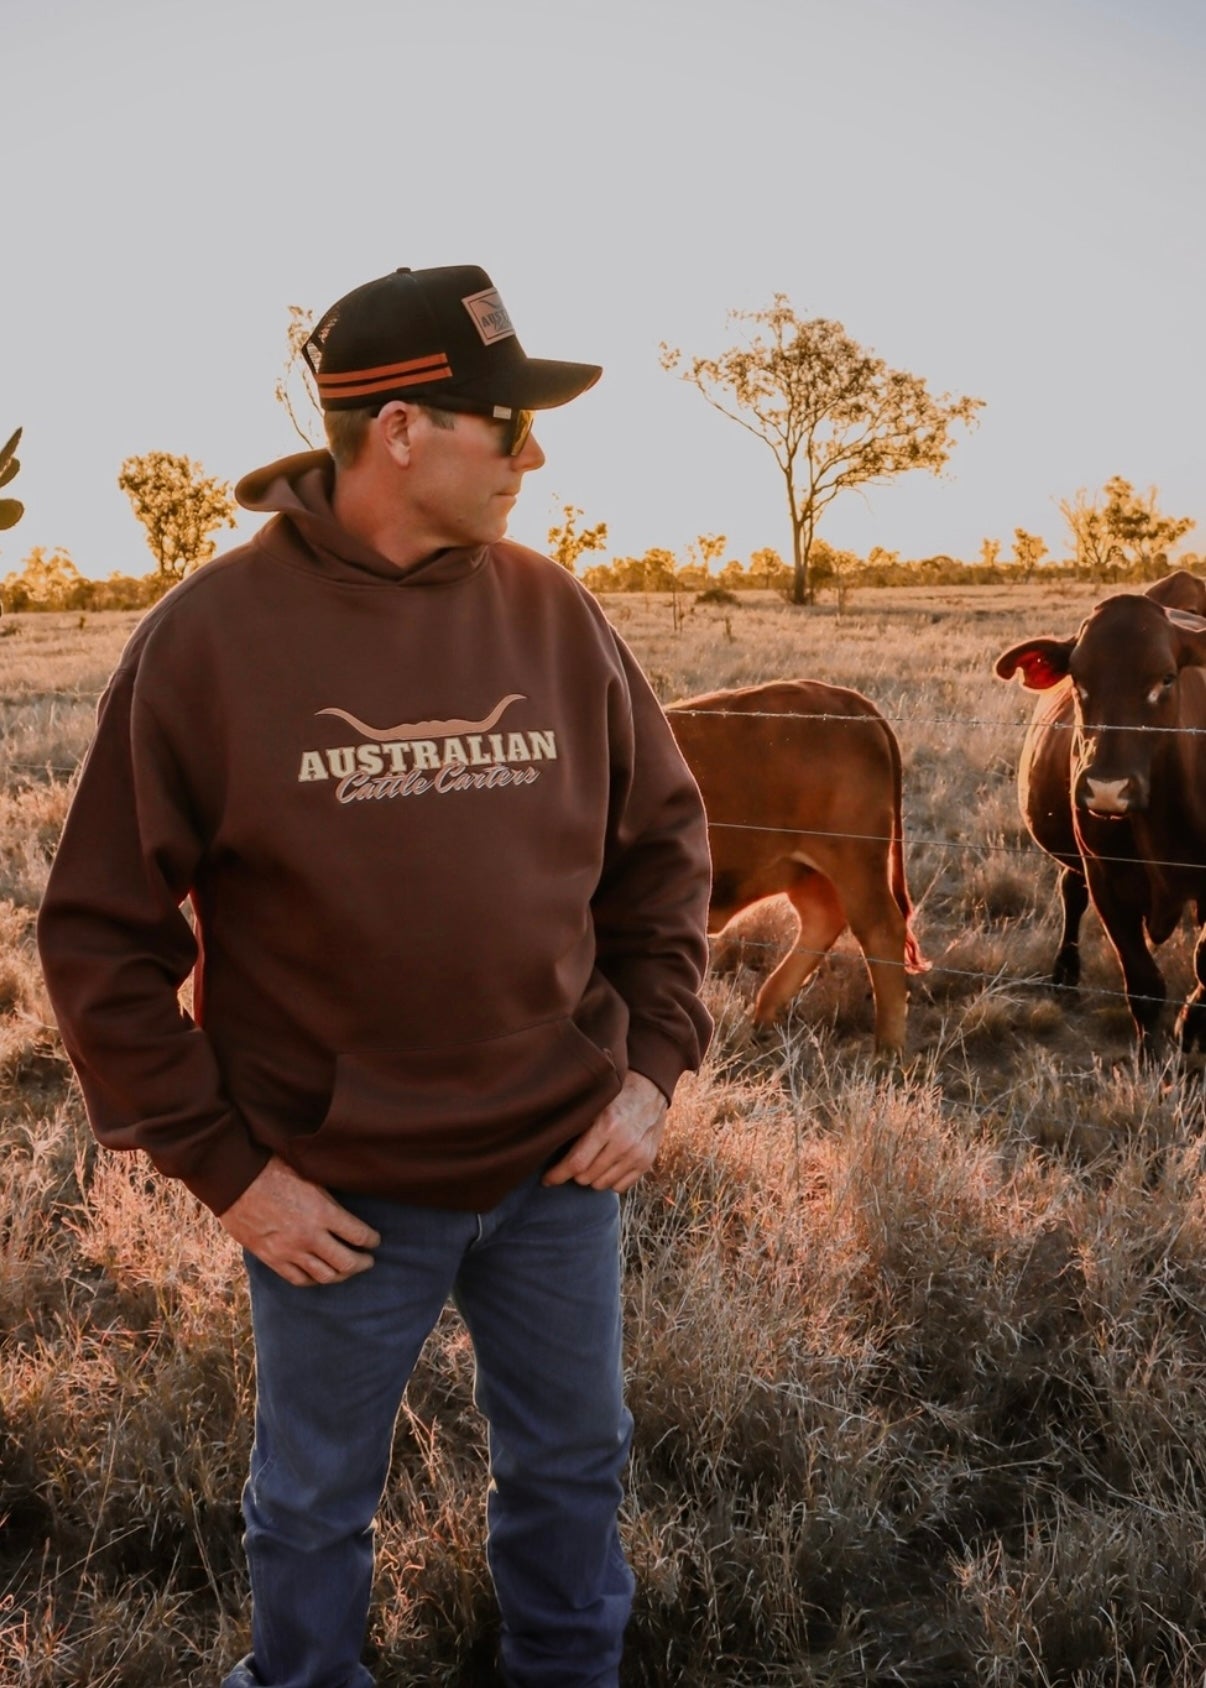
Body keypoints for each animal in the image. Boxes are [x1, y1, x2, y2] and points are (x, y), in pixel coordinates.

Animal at [662, 675, 925, 1053]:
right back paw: (763, 1014)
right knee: (823, 921)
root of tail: (845, 699)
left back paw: (887, 1049)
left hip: (855, 863)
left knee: (880, 930)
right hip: (809, 872)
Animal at [993, 573, 1202, 1060]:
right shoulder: (1107, 877)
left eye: (1166, 678)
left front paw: (1191, 1027)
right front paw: (1150, 1055)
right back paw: (1065, 971)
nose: (1108, 788)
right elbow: (1143, 981)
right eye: (1079, 680)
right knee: (1071, 893)